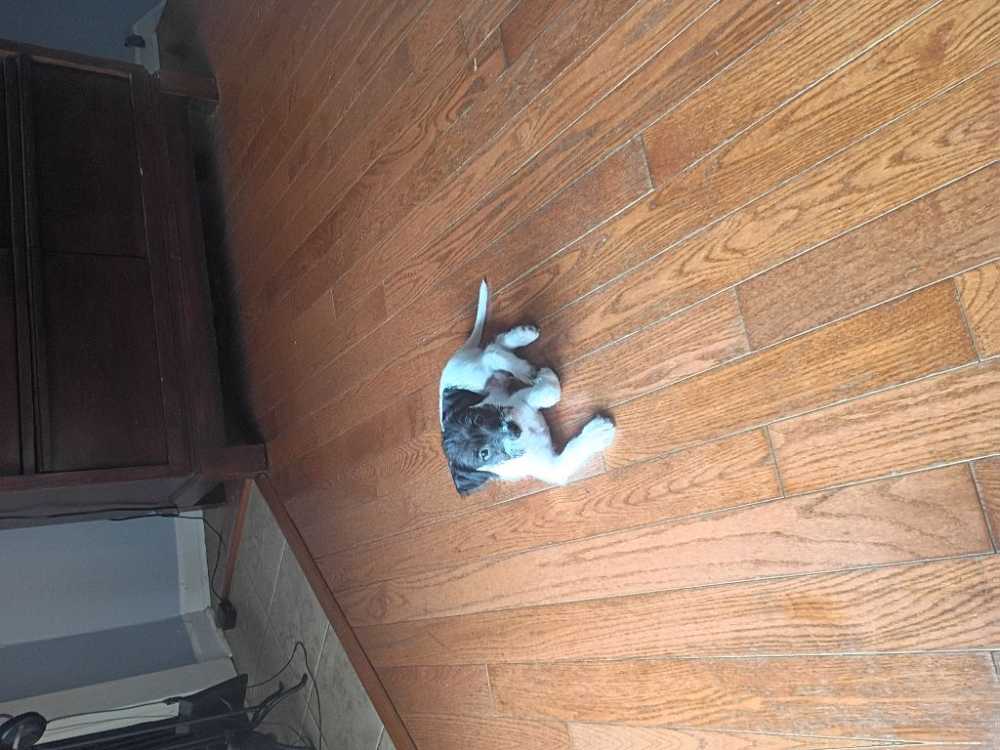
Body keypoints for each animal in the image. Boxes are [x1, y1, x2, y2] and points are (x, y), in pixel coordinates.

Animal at [440, 280, 616, 495]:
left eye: (477, 419)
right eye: (484, 454)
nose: (513, 429)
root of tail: (458, 356)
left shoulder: (515, 400)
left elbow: (547, 392)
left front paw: (544, 377)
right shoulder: (552, 468)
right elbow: (571, 452)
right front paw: (598, 433)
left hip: (478, 377)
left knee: (492, 351)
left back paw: (522, 348)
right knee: (492, 350)